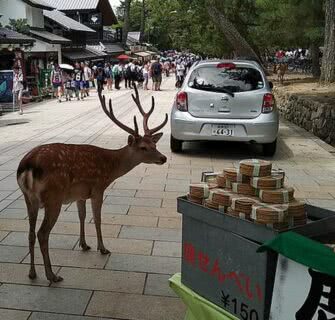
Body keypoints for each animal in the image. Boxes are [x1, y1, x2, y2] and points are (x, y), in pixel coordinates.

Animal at [16, 85, 168, 282]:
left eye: (154, 144)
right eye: (143, 147)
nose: (163, 158)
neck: (110, 168)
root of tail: (27, 165)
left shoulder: (80, 194)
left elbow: (82, 215)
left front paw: (84, 244)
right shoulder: (98, 188)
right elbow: (97, 218)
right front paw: (102, 248)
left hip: (28, 199)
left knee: (30, 233)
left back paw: (32, 273)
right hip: (53, 197)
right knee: (42, 233)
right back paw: (52, 275)